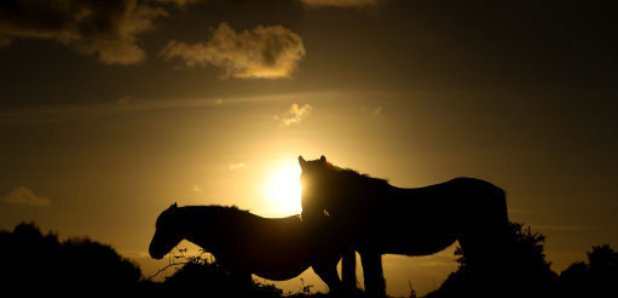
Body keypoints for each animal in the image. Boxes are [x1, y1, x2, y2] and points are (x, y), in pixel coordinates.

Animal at [147, 203, 344, 292]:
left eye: (165, 226)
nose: (152, 251)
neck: (223, 229)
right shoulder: (242, 272)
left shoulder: (241, 271)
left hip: (324, 266)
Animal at [296, 156, 508, 296]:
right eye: (301, 183)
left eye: (320, 184)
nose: (305, 217)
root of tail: (497, 190)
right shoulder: (368, 251)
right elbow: (376, 282)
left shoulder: (369, 250)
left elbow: (373, 282)